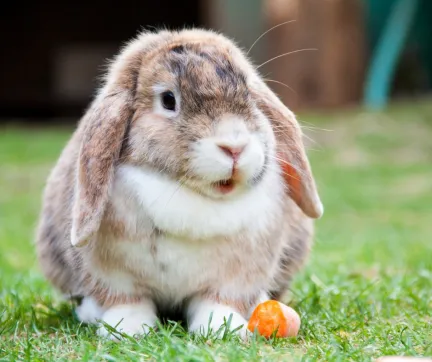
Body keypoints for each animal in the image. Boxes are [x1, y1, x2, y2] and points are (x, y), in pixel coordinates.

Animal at [35, 28, 322, 340]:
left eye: (248, 92)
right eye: (168, 100)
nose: (234, 147)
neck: (190, 194)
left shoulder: (236, 277)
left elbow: (217, 302)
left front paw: (222, 329)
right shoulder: (113, 275)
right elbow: (127, 301)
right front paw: (128, 330)